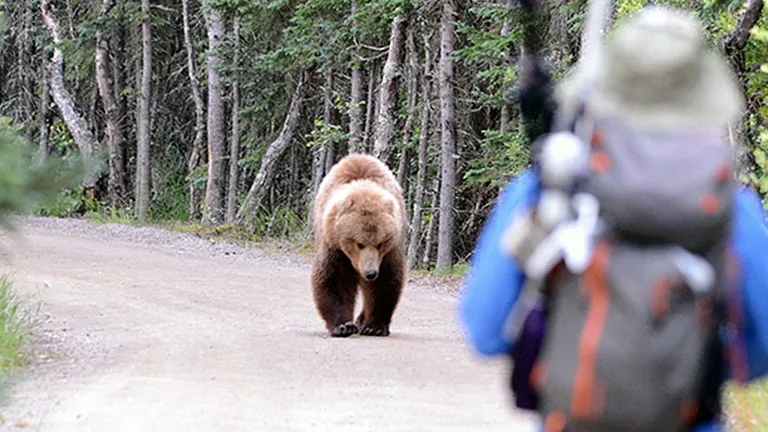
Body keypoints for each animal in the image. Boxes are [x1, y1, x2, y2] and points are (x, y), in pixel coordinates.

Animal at [310, 154, 408, 338]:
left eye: (380, 243)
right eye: (359, 243)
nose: (370, 273)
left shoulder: (389, 251)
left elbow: (384, 282)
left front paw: (374, 326)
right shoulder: (334, 245)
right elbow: (334, 278)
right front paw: (343, 326)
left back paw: (362, 320)